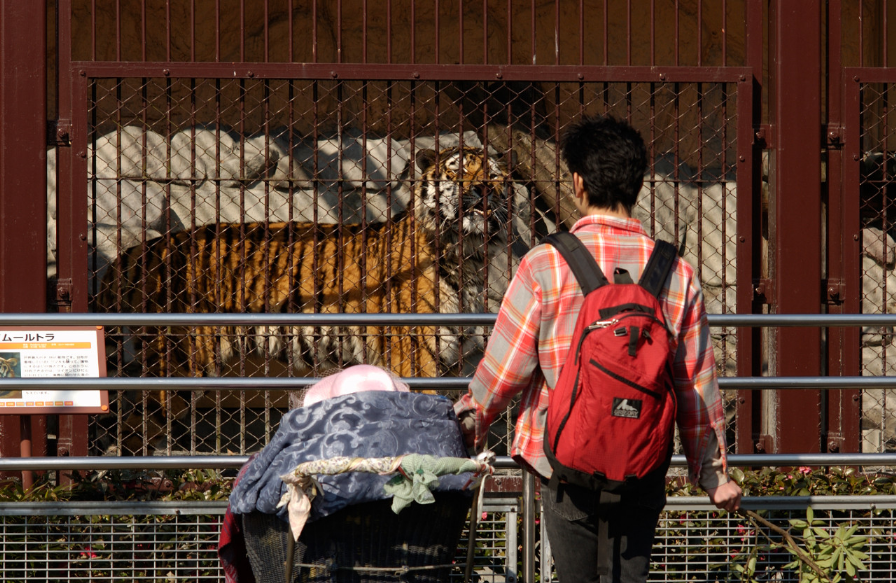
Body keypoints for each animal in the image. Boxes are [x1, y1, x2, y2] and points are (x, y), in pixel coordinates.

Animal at [96, 145, 520, 448]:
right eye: (457, 170)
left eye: (495, 176)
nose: (483, 188)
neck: (469, 254)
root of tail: (135, 252)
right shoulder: (417, 358)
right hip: (176, 365)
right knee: (133, 429)